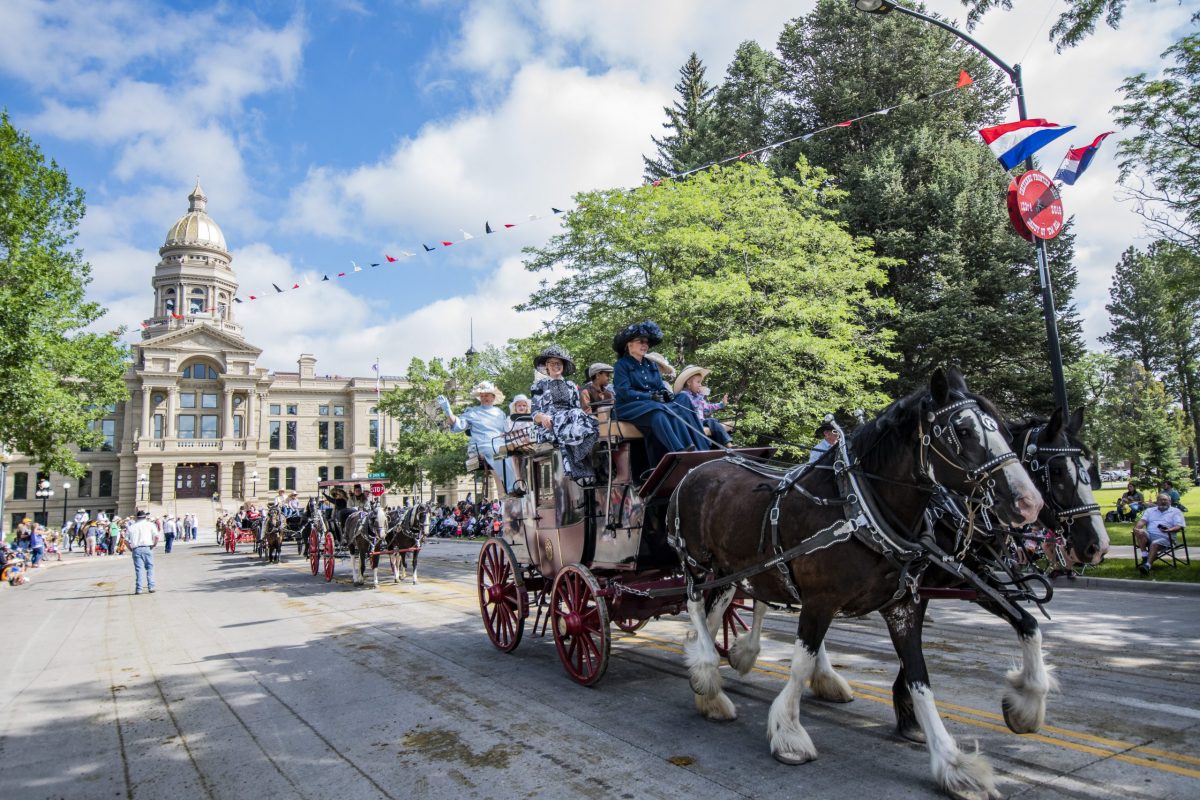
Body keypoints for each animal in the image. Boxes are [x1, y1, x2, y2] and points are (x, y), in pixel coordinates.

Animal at [667, 369, 1041, 800]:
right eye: (962, 430)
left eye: (1006, 432)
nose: (1029, 502)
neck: (859, 506)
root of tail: (699, 467)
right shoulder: (820, 600)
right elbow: (800, 663)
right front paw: (789, 734)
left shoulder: (903, 605)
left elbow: (921, 677)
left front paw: (953, 762)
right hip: (696, 561)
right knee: (694, 604)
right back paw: (707, 667)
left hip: (734, 569)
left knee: (715, 613)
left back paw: (707, 686)